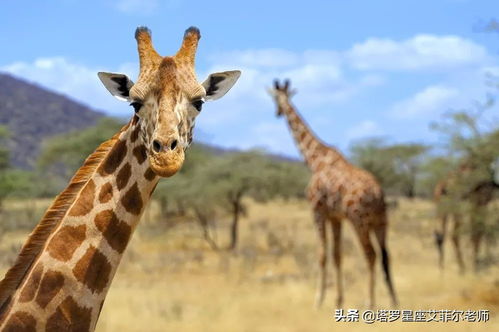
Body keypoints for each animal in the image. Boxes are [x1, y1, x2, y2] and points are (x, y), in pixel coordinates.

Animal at [268, 79, 400, 308]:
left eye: (275, 98)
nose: (277, 112)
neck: (315, 161)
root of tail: (377, 195)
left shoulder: (317, 211)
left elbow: (322, 254)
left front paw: (318, 299)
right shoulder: (336, 217)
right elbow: (337, 255)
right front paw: (338, 300)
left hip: (359, 221)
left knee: (371, 254)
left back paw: (370, 301)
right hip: (381, 221)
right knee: (386, 255)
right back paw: (393, 301)